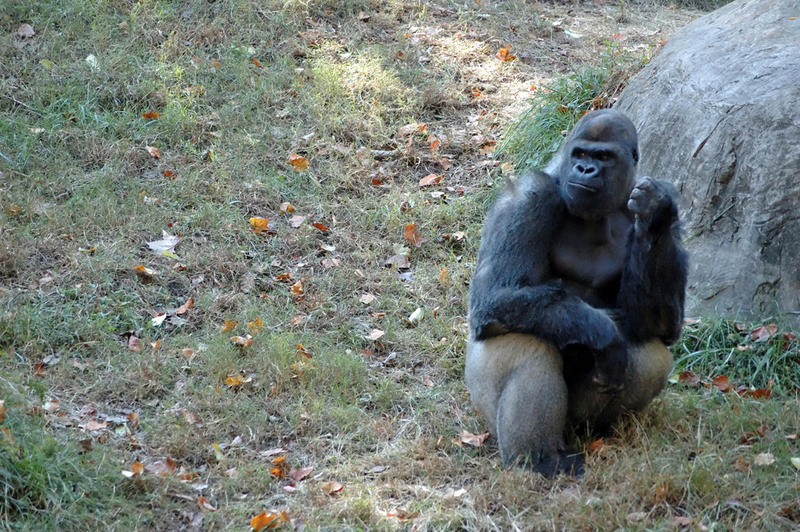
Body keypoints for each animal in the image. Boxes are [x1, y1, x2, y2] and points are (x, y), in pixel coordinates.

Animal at [468, 109, 688, 478]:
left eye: (603, 157)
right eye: (581, 154)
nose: (585, 170)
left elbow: (656, 325)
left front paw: (654, 214)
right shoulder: (529, 196)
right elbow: (496, 295)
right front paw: (604, 333)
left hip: (576, 425)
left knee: (650, 351)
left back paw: (601, 433)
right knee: (526, 340)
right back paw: (538, 459)